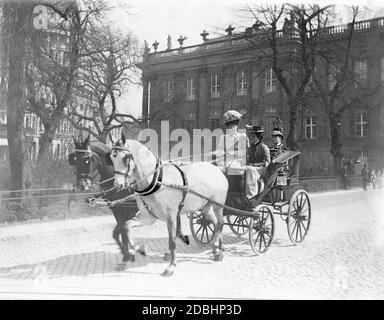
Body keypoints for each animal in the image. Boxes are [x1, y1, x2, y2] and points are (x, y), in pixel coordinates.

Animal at [68, 135, 189, 270]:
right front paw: (128, 255)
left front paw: (133, 251)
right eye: (74, 159)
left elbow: (122, 232)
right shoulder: (118, 211)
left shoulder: (130, 211)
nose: (82, 185)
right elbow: (120, 232)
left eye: (87, 160)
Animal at [109, 134, 228, 276]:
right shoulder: (147, 217)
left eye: (126, 157)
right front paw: (137, 249)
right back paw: (218, 248)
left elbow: (172, 241)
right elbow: (124, 227)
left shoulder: (171, 216)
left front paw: (171, 266)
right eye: (112, 157)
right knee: (215, 223)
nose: (118, 185)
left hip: (217, 205)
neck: (157, 180)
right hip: (205, 207)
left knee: (220, 223)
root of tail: (217, 169)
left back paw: (217, 250)